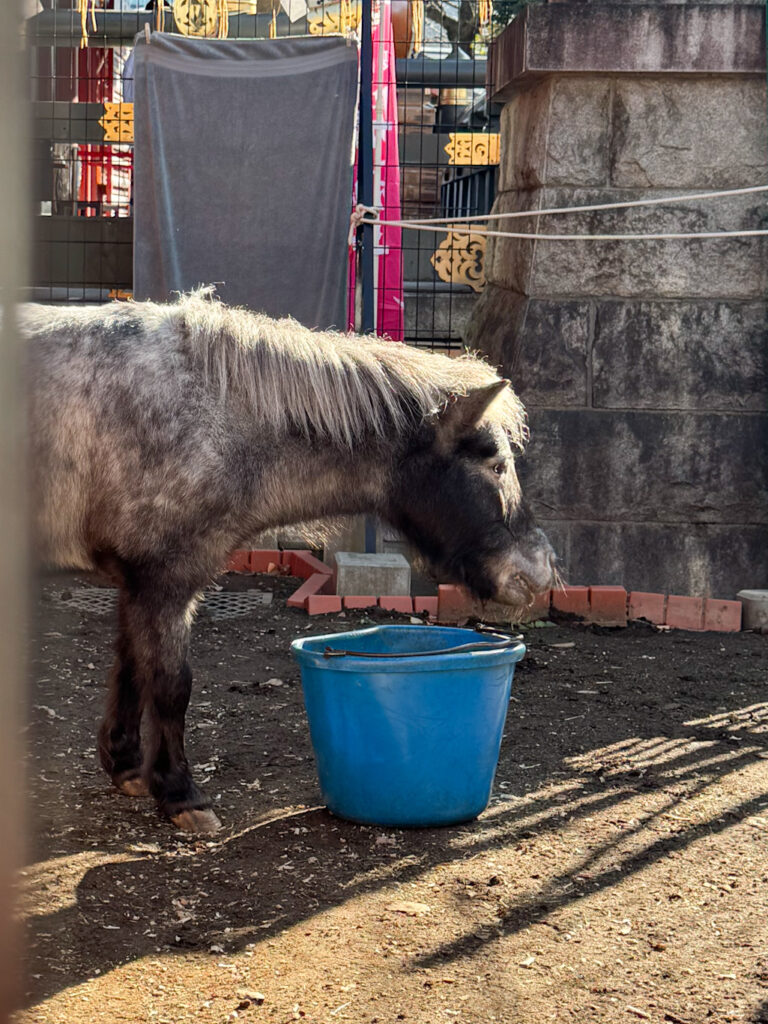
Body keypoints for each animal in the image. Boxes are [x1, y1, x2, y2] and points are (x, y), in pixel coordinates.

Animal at [23, 289, 556, 832]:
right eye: (496, 465)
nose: (539, 571)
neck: (213, 415)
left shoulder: (139, 583)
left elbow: (132, 666)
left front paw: (127, 766)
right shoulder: (165, 581)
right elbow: (172, 685)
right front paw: (180, 794)